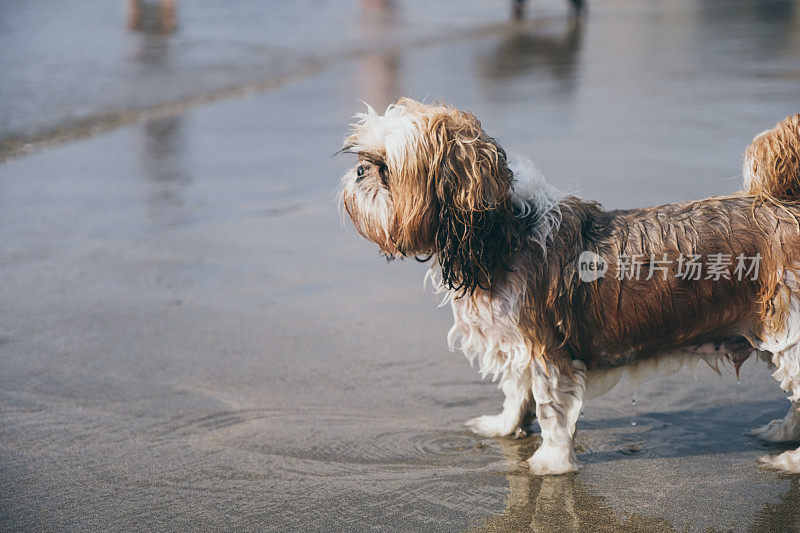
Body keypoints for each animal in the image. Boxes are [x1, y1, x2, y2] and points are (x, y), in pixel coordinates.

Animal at [340, 98, 800, 474]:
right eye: (364, 158)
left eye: (386, 169)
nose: (360, 171)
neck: (503, 237)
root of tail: (783, 206)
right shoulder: (517, 343)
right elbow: (516, 392)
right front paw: (504, 426)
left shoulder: (546, 349)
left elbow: (551, 410)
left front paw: (550, 462)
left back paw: (790, 460)